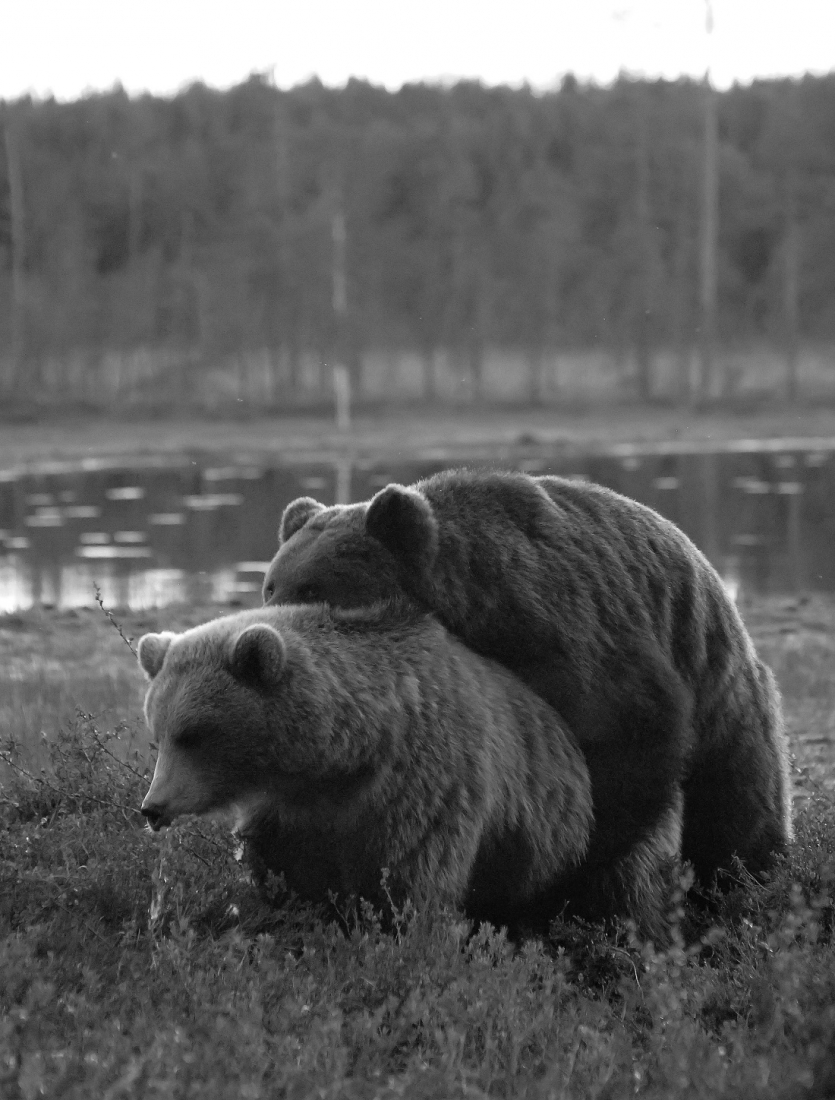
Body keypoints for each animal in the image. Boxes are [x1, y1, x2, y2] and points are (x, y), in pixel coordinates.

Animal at [137, 599, 594, 931]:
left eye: (194, 734)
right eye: (158, 735)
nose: (152, 807)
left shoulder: (423, 785)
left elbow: (404, 878)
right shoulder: (290, 814)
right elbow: (288, 872)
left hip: (545, 839)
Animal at [262, 467, 792, 934]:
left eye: (314, 588)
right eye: (271, 585)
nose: (269, 636)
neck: (475, 608)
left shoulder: (576, 641)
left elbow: (630, 746)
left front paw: (568, 887)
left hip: (724, 699)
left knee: (735, 812)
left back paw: (739, 886)